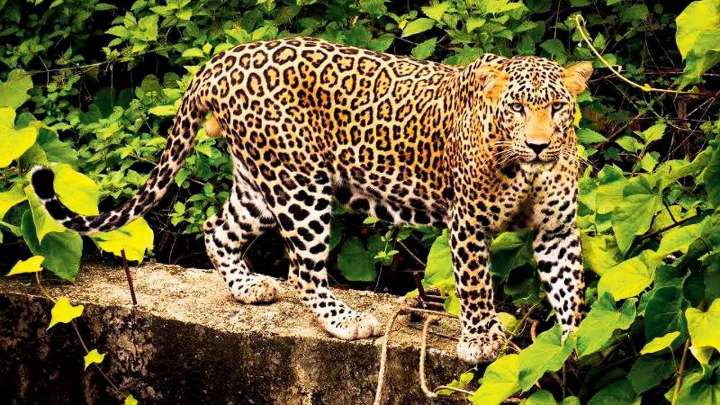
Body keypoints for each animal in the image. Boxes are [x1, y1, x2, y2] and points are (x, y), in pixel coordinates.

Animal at [31, 36, 592, 364]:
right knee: (303, 269)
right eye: (516, 108)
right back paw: (345, 320)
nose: (539, 144)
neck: (527, 171)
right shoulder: (468, 222)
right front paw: (479, 339)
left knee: (218, 228)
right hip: (299, 184)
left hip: (261, 181)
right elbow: (476, 287)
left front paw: (576, 342)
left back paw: (248, 288)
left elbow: (571, 291)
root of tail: (220, 60)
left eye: (557, 108)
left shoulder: (557, 232)